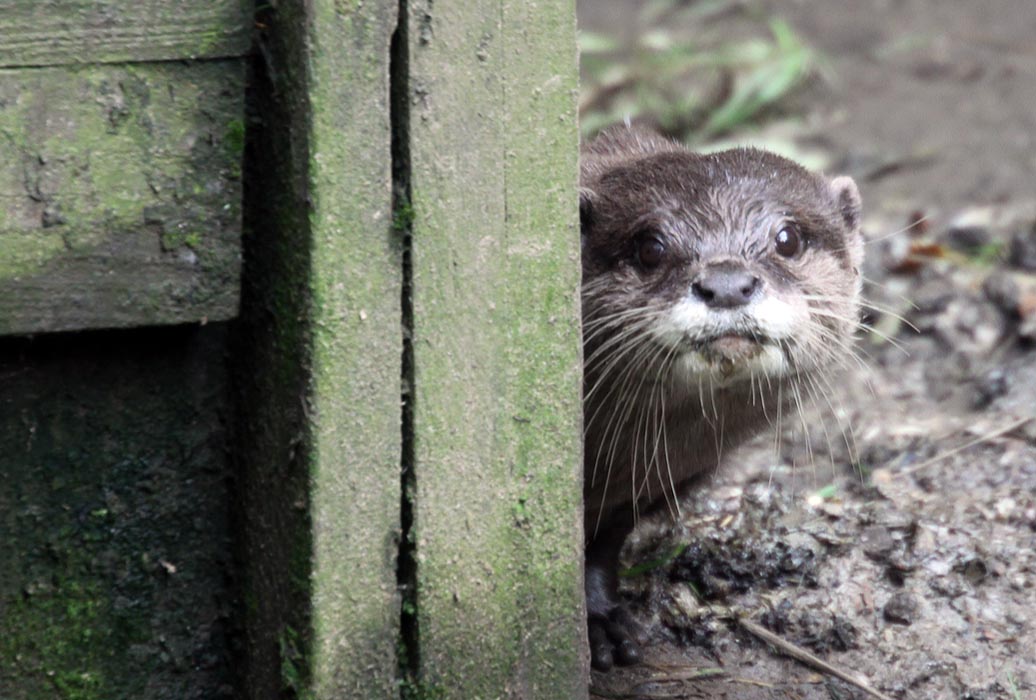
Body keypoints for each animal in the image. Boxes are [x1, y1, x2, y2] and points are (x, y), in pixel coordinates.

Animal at [580, 126, 864, 670]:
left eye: (787, 239)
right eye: (650, 247)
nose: (727, 284)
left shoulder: (649, 483)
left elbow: (602, 544)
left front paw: (601, 615)